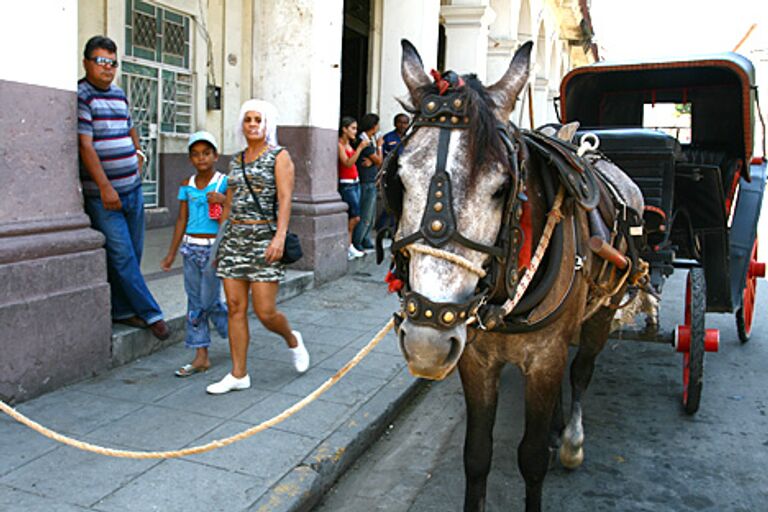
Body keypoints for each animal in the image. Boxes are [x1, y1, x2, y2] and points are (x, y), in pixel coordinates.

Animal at [380, 41, 648, 512]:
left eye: (501, 188)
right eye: (399, 181)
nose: (427, 345)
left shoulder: (544, 357)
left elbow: (531, 457)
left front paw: (551, 447)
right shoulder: (475, 358)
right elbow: (476, 455)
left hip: (603, 309)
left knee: (581, 370)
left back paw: (571, 440)